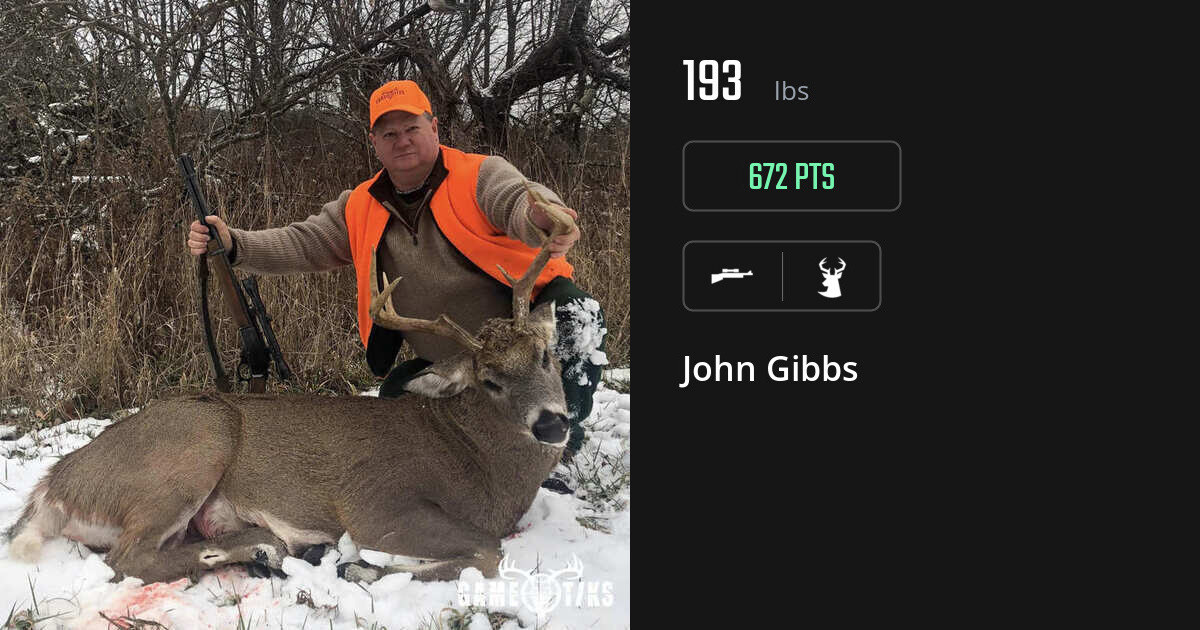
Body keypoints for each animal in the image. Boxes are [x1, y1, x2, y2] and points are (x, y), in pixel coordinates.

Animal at [5, 193, 577, 585]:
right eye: (490, 381)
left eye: (545, 355)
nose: (552, 424)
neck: (479, 469)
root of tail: (53, 487)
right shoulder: (376, 505)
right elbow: (487, 552)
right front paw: (363, 570)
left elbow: (486, 550)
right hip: (194, 443)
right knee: (128, 559)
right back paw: (265, 552)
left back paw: (270, 548)